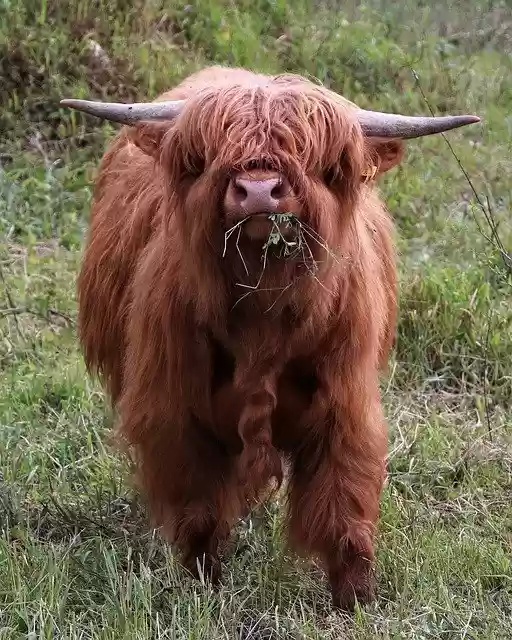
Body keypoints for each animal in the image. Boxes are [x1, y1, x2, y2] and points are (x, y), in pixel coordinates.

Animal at [61, 66, 479, 610]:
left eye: (320, 161)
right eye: (203, 156)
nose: (259, 191)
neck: (264, 317)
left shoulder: (346, 405)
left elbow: (344, 500)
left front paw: (355, 599)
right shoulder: (175, 409)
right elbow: (198, 505)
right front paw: (203, 581)